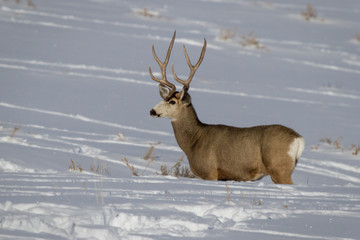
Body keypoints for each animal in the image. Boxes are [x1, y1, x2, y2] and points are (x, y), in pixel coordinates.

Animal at [149, 31, 304, 185]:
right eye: (164, 98)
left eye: (173, 102)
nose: (152, 111)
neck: (194, 141)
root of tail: (298, 139)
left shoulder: (210, 172)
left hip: (279, 168)